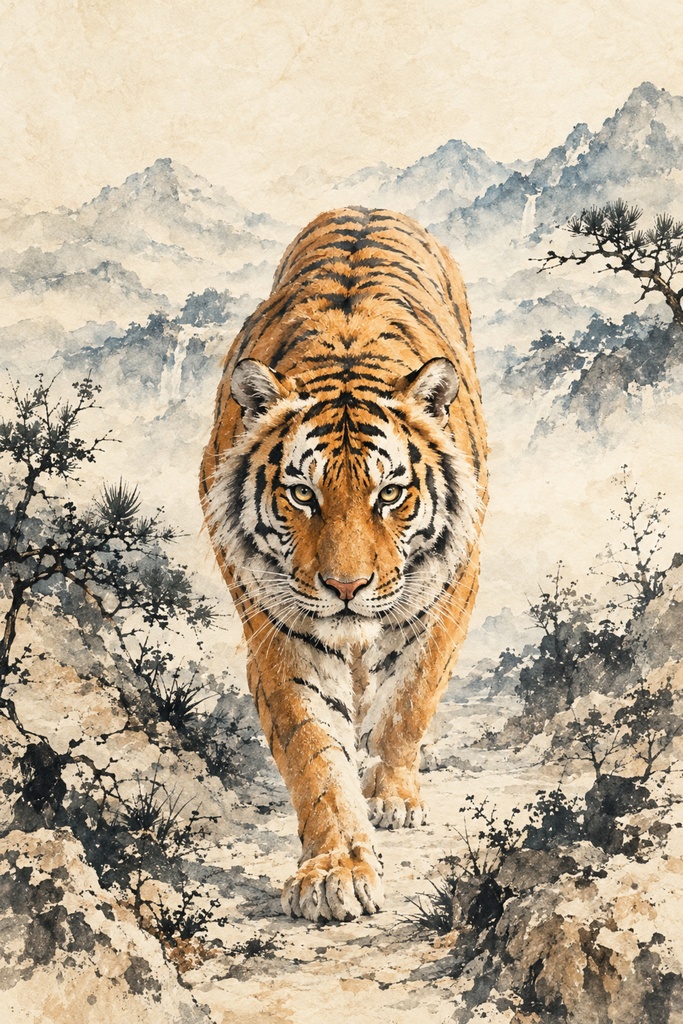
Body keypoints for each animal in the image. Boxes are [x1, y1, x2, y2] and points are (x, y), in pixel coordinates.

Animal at [199, 207, 488, 923]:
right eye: (304, 494)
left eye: (390, 494)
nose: (347, 587)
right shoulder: (280, 627)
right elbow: (315, 752)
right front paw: (337, 869)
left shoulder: (449, 590)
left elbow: (409, 699)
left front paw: (391, 798)